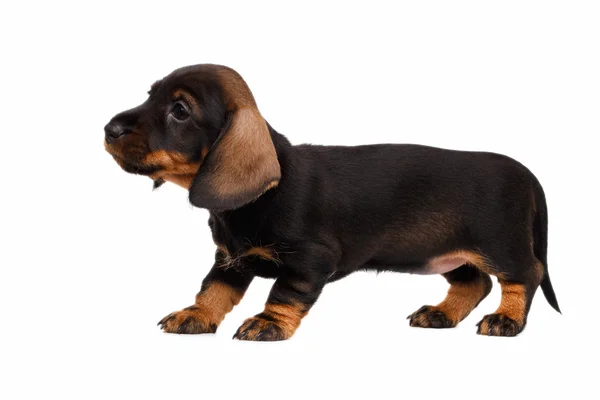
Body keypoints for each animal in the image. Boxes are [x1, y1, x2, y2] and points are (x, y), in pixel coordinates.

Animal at [103, 64, 556, 340]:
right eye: (150, 95)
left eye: (180, 110)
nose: (108, 128)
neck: (257, 199)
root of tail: (527, 174)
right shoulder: (230, 260)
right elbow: (212, 290)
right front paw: (195, 316)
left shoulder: (310, 259)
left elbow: (284, 293)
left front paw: (268, 323)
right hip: (447, 254)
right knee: (474, 282)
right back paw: (441, 314)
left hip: (501, 245)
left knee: (524, 276)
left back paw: (507, 319)